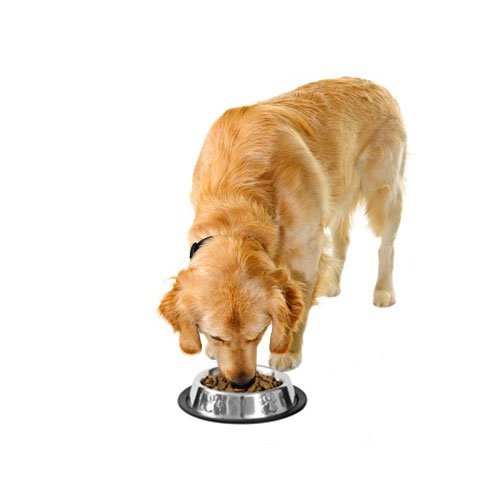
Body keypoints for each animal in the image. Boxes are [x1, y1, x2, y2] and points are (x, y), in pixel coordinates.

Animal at [159, 78, 406, 387]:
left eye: (258, 333)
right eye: (215, 335)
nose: (242, 383)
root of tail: (377, 85)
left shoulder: (305, 249)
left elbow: (298, 307)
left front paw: (286, 352)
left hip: (383, 191)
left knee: (387, 246)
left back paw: (384, 290)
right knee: (342, 239)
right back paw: (333, 283)